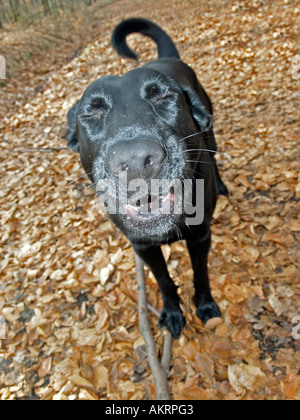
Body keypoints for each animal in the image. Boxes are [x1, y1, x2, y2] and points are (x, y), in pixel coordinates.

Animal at [66, 18, 227, 338]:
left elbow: (200, 274)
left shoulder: (200, 235)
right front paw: (173, 312)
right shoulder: (143, 246)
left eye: (164, 96)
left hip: (211, 134)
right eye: (90, 114)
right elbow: (165, 281)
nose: (136, 161)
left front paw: (205, 305)